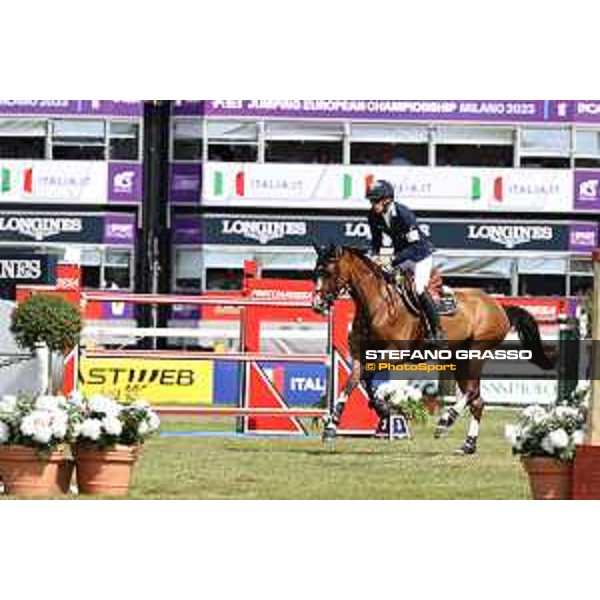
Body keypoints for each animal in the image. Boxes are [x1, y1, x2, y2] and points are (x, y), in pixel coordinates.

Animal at [312, 244, 556, 454]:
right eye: (316, 271)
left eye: (329, 272)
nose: (317, 305)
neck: (378, 305)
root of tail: (498, 305)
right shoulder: (358, 356)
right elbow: (353, 382)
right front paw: (332, 425)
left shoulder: (396, 353)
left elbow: (368, 377)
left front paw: (382, 407)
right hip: (459, 359)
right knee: (477, 400)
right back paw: (467, 446)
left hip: (476, 353)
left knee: (471, 393)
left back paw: (446, 420)